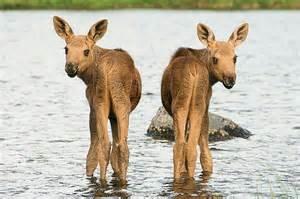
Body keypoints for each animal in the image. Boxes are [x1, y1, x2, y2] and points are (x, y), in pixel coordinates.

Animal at [53, 16, 142, 183]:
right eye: (66, 49)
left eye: (86, 51)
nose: (70, 67)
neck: (87, 77)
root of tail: (108, 69)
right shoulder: (99, 109)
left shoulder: (99, 108)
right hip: (116, 103)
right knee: (116, 145)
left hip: (105, 102)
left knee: (111, 145)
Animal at [162, 22, 248, 180]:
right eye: (215, 58)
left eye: (235, 58)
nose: (230, 79)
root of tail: (194, 71)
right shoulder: (205, 104)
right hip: (197, 105)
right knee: (191, 147)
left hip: (181, 105)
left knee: (181, 146)